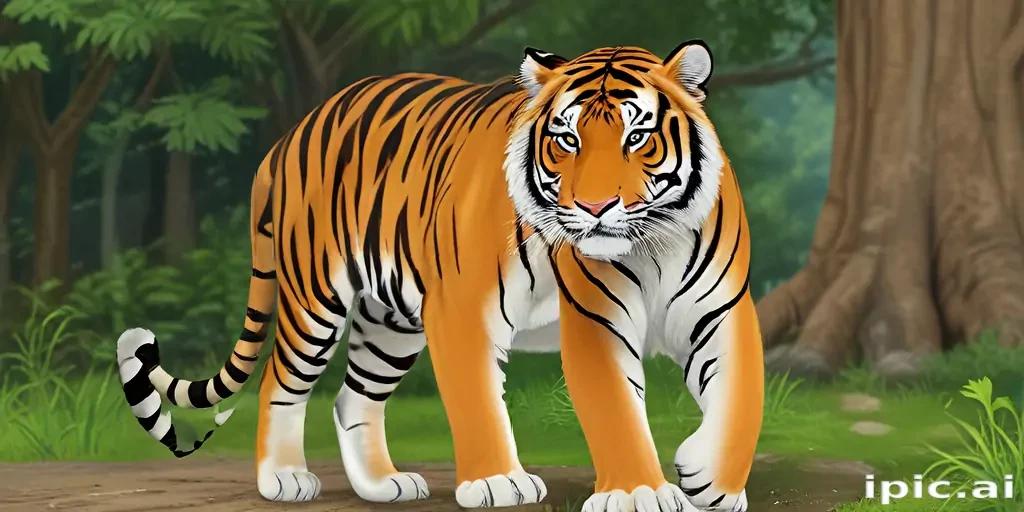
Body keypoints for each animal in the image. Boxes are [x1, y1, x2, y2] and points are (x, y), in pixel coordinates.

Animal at [115, 40, 763, 512]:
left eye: (637, 136)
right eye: (567, 138)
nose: (596, 207)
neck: (656, 244)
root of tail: (288, 136)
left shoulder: (723, 312)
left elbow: (741, 400)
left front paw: (709, 477)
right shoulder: (520, 314)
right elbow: (576, 407)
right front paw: (620, 491)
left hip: (391, 323)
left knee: (354, 398)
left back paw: (383, 485)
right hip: (317, 299)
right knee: (282, 380)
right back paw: (284, 479)